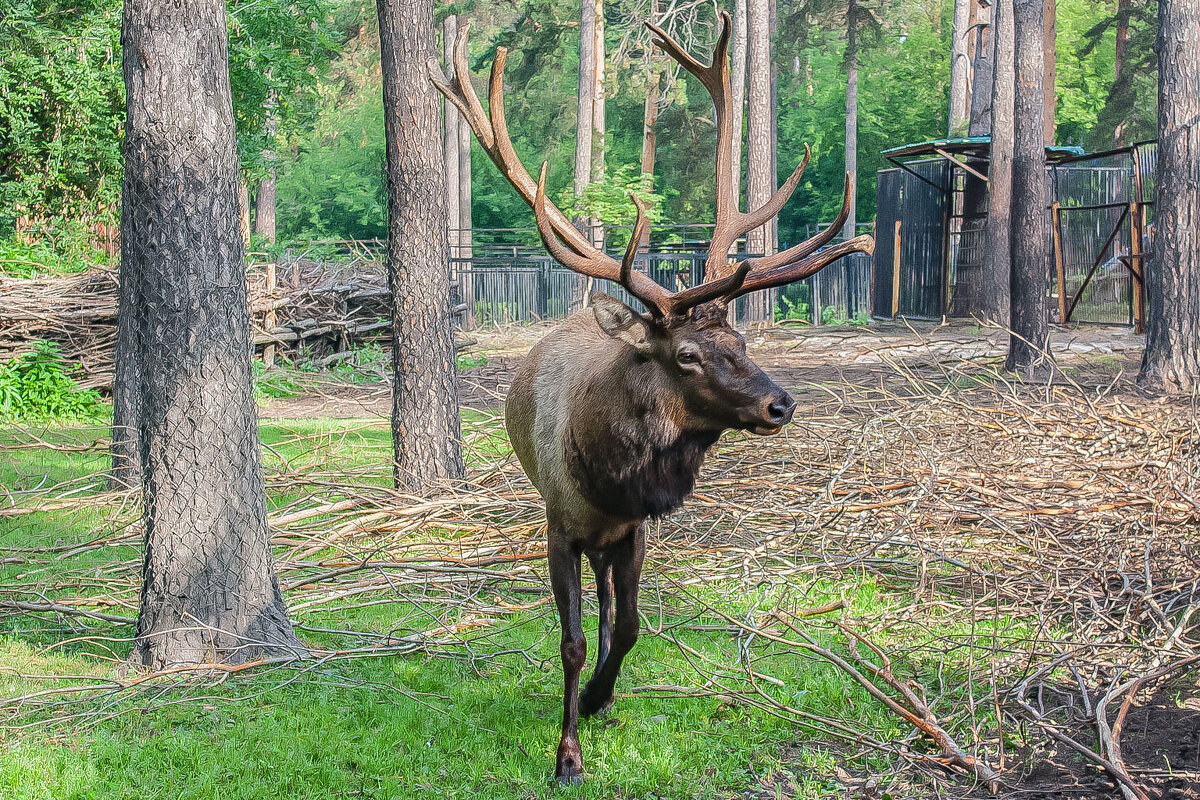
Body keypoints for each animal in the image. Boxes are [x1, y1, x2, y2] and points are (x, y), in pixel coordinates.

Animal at [432, 9, 873, 786]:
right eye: (688, 355)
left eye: (743, 342)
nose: (779, 405)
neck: (611, 476)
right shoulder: (559, 523)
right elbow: (572, 641)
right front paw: (567, 752)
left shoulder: (635, 530)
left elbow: (632, 627)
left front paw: (601, 697)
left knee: (614, 609)